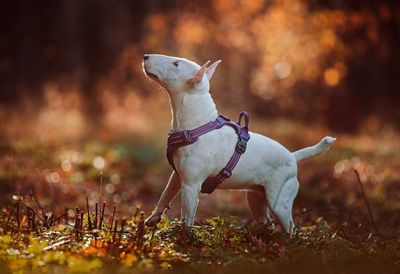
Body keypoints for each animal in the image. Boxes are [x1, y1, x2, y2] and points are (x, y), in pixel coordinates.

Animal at [141, 54, 334, 235]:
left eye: (176, 64)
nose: (145, 56)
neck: (198, 125)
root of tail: (293, 157)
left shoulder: (191, 185)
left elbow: (187, 217)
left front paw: (184, 238)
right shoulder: (177, 176)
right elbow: (164, 196)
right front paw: (153, 219)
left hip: (279, 202)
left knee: (290, 226)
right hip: (256, 198)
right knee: (268, 222)